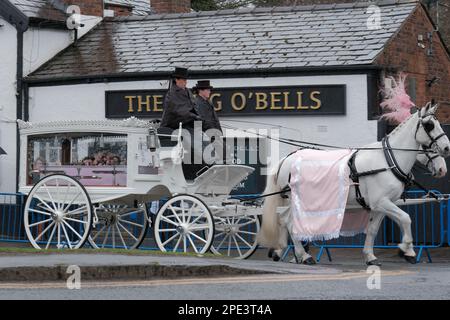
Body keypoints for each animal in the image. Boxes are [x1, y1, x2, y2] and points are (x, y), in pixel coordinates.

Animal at [258, 102, 450, 264]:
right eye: (429, 125)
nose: (446, 150)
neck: (387, 161)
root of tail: (286, 159)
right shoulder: (381, 202)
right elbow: (406, 218)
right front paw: (406, 249)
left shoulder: (381, 205)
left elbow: (374, 229)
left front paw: (371, 256)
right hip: (294, 201)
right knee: (289, 223)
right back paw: (303, 255)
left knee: (285, 222)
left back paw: (291, 253)